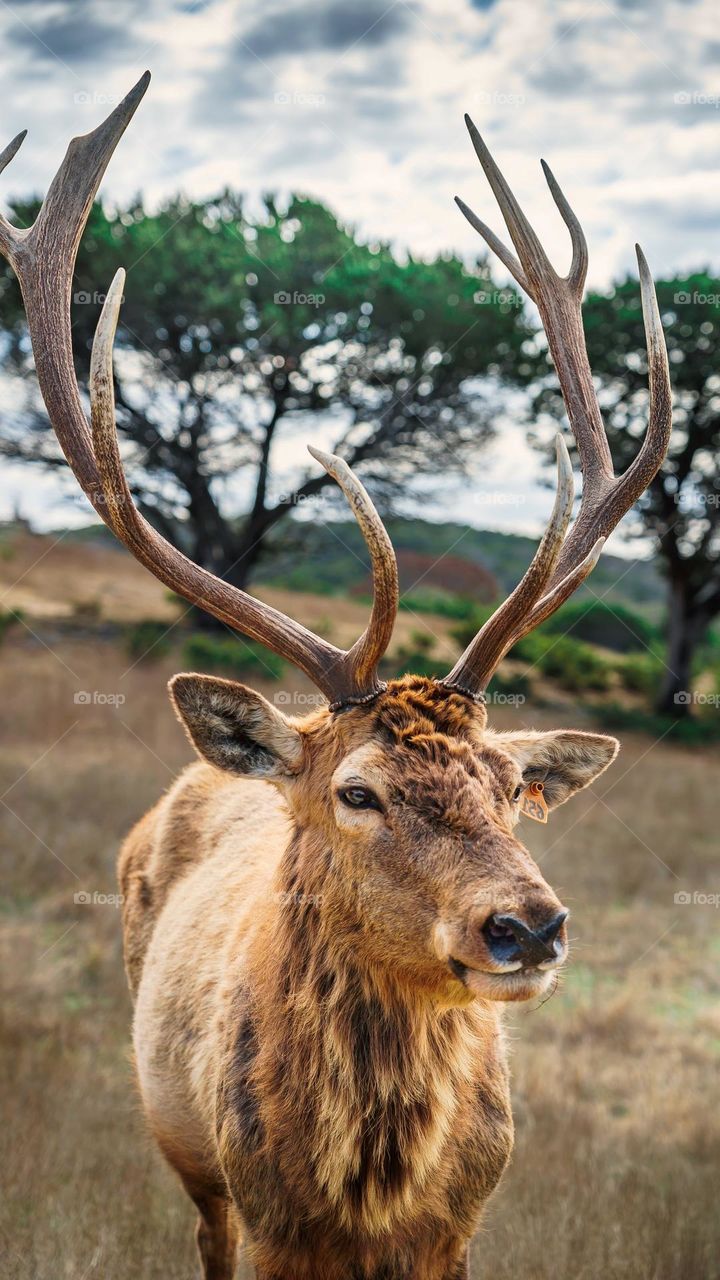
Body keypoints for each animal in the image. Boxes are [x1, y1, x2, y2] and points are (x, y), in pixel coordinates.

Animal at [2, 77, 671, 1280]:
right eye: (357, 790)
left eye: (512, 786)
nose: (529, 926)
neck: (369, 1197)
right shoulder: (264, 1216)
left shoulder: (462, 1228)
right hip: (186, 1151)